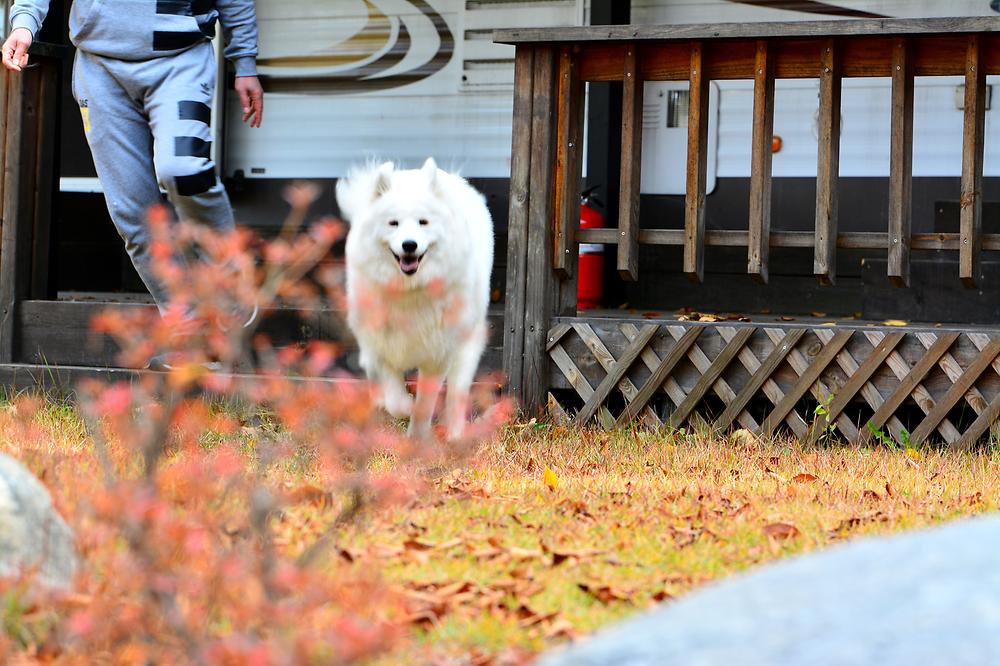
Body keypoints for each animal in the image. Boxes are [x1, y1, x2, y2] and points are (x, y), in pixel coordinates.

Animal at [336, 159, 492, 440]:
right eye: (393, 223)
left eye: (423, 222)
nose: (409, 245)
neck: (409, 291)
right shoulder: (382, 345)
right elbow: (395, 397)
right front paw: (401, 407)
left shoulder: (438, 355)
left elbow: (424, 405)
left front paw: (417, 437)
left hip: (466, 345)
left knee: (457, 392)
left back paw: (454, 433)